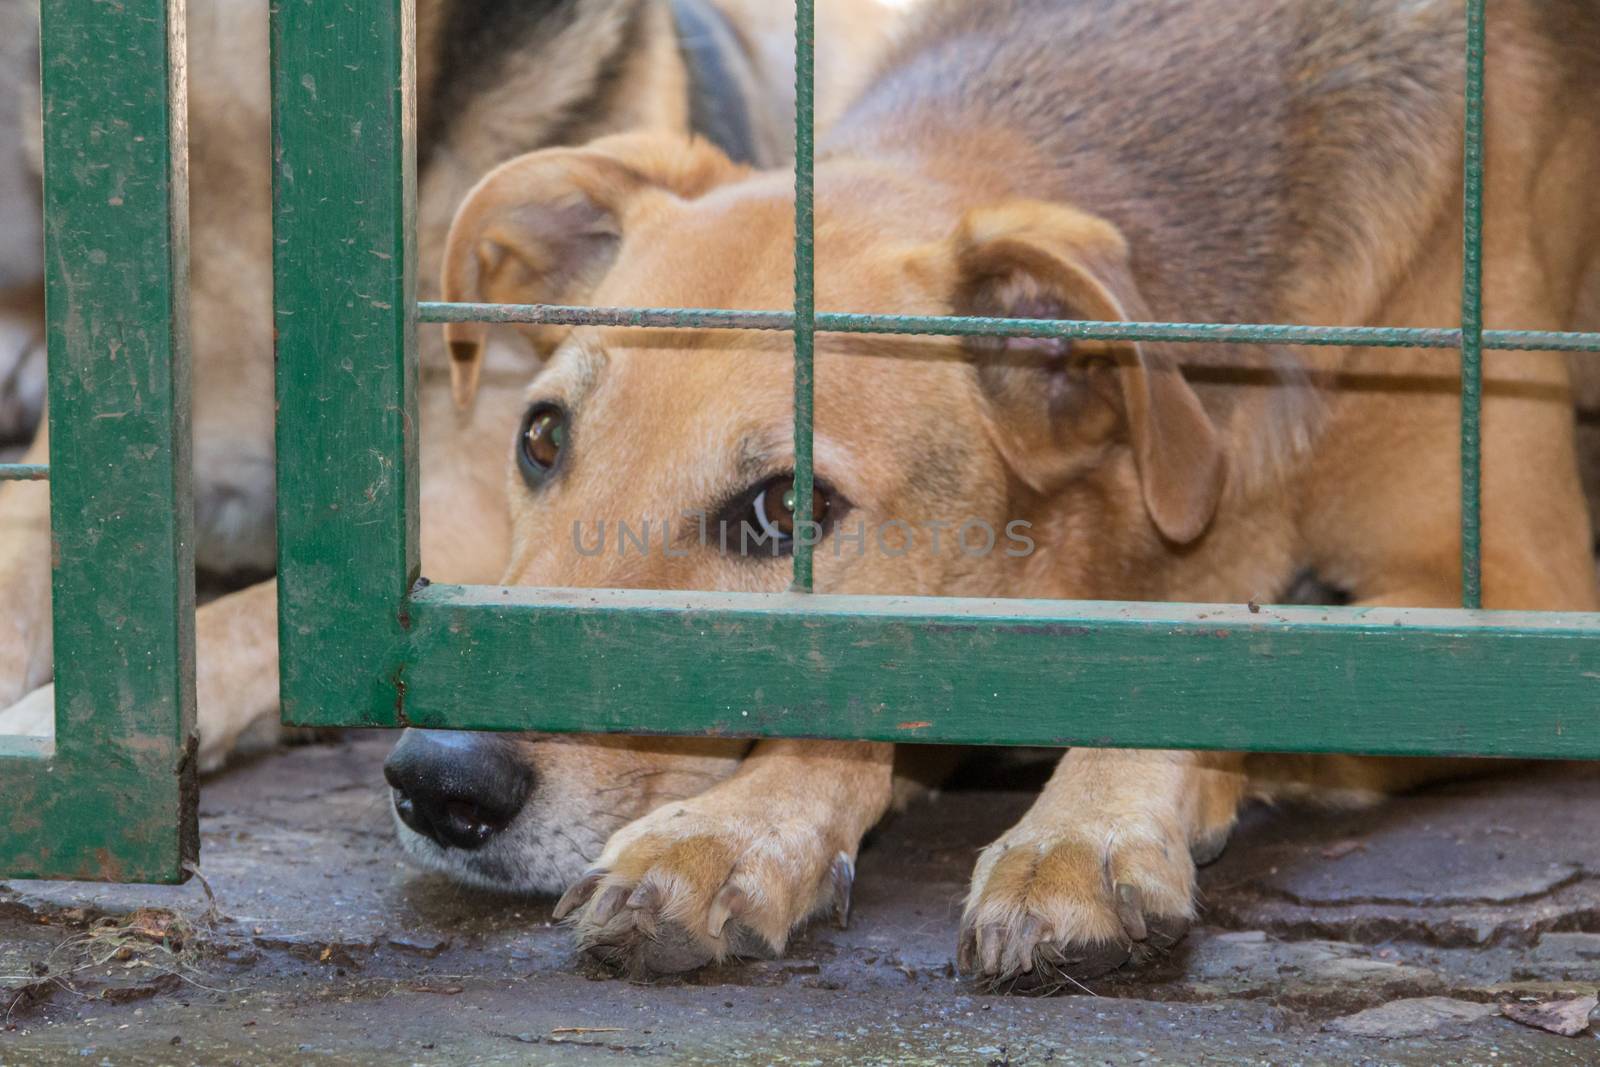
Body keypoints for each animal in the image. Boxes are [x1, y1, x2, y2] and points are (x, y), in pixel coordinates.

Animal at [387, 0, 1600, 991]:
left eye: (784, 510)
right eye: (542, 439)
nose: (437, 778)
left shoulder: (1507, 608)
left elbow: (1252, 659)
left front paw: (1079, 833)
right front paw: (734, 830)